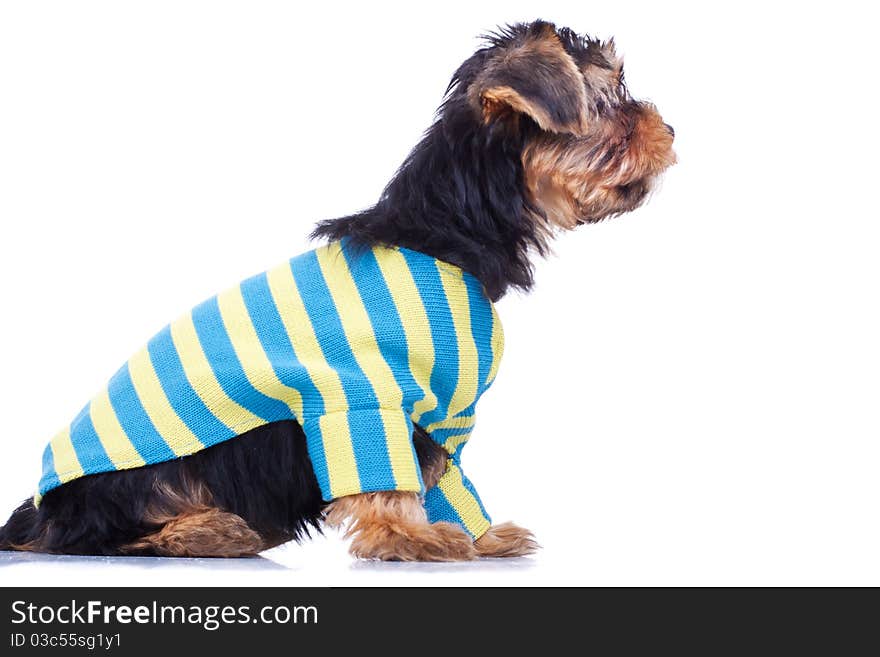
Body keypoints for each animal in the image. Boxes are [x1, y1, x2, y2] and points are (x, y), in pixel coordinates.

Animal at [0, 20, 676, 560]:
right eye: (610, 99)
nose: (667, 128)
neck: (443, 236)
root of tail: (38, 509)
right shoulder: (362, 396)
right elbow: (387, 476)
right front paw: (409, 538)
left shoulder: (445, 413)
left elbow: (444, 475)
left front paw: (479, 536)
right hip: (142, 479)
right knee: (99, 534)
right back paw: (205, 531)